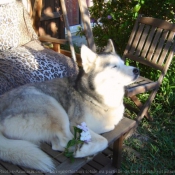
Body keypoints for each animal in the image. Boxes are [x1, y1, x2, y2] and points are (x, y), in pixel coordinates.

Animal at [0, 39, 139, 171]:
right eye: (114, 66)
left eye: (123, 63)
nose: (137, 70)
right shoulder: (75, 124)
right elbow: (103, 140)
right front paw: (85, 147)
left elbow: (107, 128)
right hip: (54, 107)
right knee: (64, 141)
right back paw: (80, 151)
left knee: (57, 144)